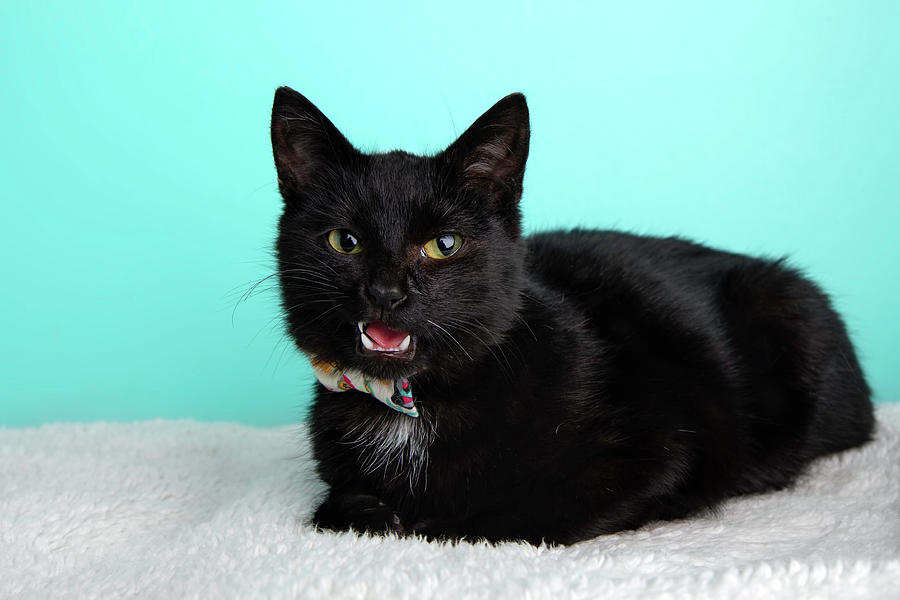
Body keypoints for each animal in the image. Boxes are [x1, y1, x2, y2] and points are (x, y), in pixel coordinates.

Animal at [268, 88, 872, 544]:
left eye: (443, 244)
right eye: (344, 241)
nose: (386, 292)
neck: (413, 408)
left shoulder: (655, 456)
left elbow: (510, 518)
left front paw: (426, 520)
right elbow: (334, 508)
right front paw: (370, 510)